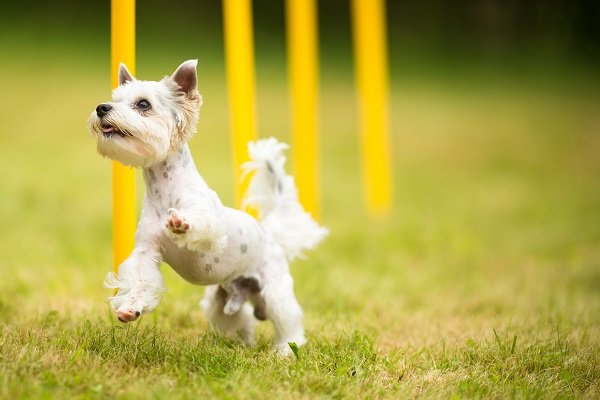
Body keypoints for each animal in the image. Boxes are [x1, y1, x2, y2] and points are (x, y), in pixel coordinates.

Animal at [88, 59, 328, 354]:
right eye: (115, 99)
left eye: (143, 104)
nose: (102, 108)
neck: (164, 191)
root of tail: (269, 233)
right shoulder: (146, 251)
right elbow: (139, 280)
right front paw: (129, 308)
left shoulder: (212, 227)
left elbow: (200, 223)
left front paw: (180, 223)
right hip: (221, 302)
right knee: (242, 321)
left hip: (275, 291)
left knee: (288, 321)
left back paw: (284, 350)